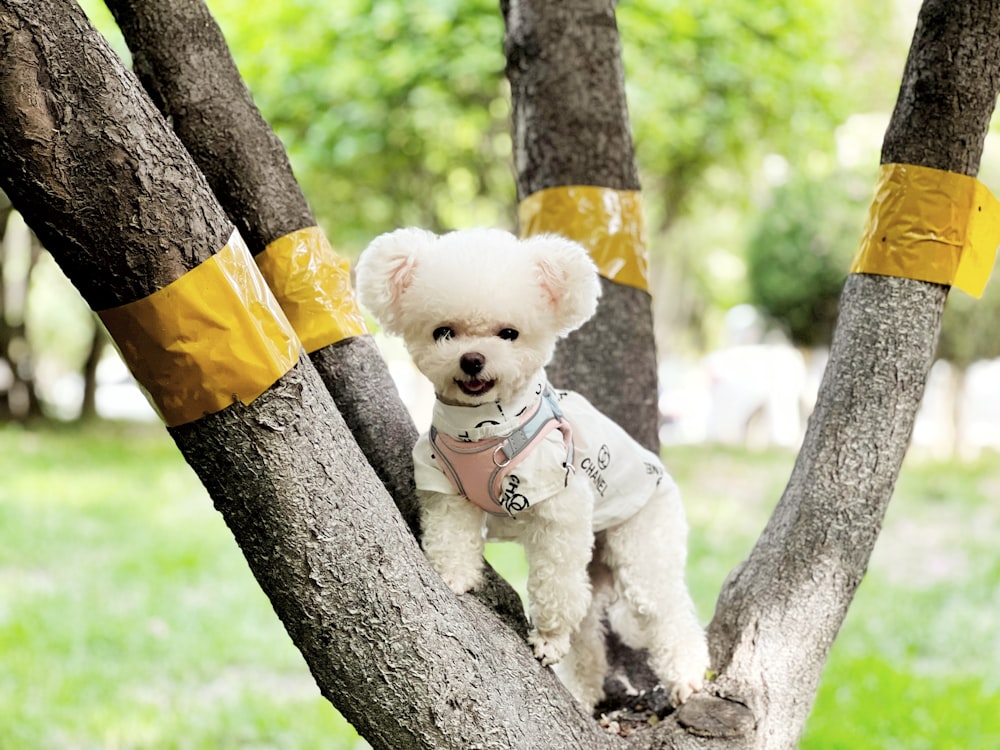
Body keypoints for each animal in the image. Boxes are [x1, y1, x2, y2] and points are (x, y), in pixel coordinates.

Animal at [356, 228, 708, 712]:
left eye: (509, 334)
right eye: (443, 332)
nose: (472, 359)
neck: (485, 429)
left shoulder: (557, 506)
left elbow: (555, 584)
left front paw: (548, 638)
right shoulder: (443, 485)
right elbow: (451, 536)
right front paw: (454, 576)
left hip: (644, 537)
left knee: (664, 610)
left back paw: (687, 679)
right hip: (595, 563)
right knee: (588, 628)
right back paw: (584, 691)